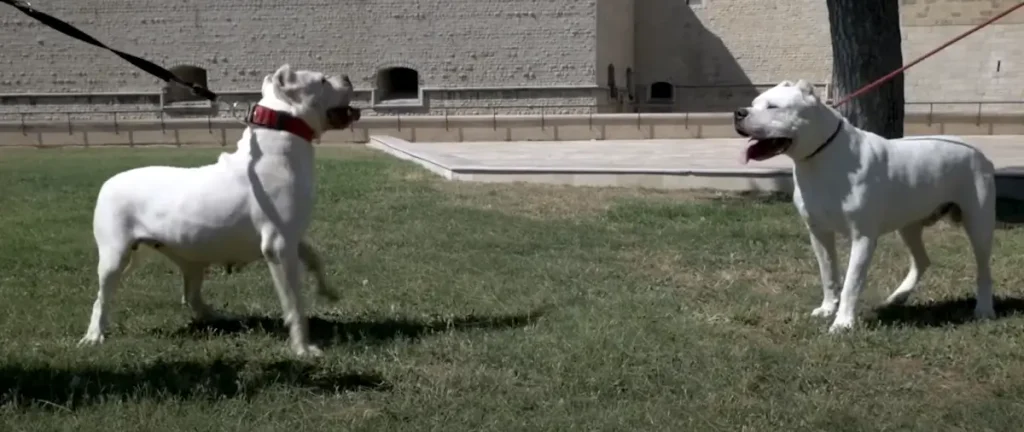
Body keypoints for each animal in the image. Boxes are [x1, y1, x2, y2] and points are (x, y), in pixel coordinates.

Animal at [78, 63, 360, 354]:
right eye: (323, 80)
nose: (347, 76)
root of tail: (107, 183)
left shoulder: (292, 236)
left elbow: (315, 258)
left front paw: (328, 291)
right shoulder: (279, 245)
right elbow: (294, 303)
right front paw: (303, 347)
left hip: (189, 259)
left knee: (190, 295)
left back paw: (217, 317)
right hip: (114, 256)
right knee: (101, 298)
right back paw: (94, 335)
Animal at [733, 80, 995, 331]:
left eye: (773, 107)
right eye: (754, 103)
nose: (738, 112)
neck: (821, 159)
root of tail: (979, 152)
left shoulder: (862, 237)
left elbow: (852, 281)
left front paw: (843, 322)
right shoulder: (819, 233)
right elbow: (828, 273)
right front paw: (827, 308)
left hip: (979, 223)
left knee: (983, 268)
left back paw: (984, 309)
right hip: (909, 224)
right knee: (922, 260)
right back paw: (898, 297)